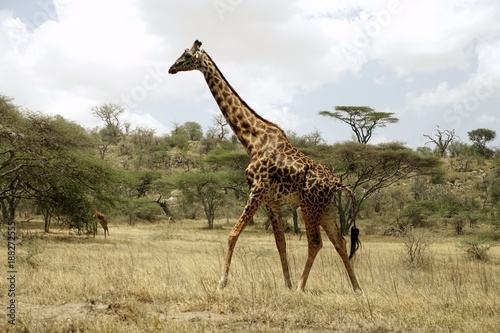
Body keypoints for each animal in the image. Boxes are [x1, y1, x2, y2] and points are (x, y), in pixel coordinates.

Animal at [170, 40, 362, 290]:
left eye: (186, 55)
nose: (171, 68)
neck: (252, 140)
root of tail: (336, 183)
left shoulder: (257, 189)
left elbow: (232, 235)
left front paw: (221, 283)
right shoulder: (271, 199)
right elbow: (280, 242)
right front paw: (286, 284)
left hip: (309, 205)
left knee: (316, 242)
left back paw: (302, 287)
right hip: (326, 207)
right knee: (340, 241)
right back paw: (356, 288)